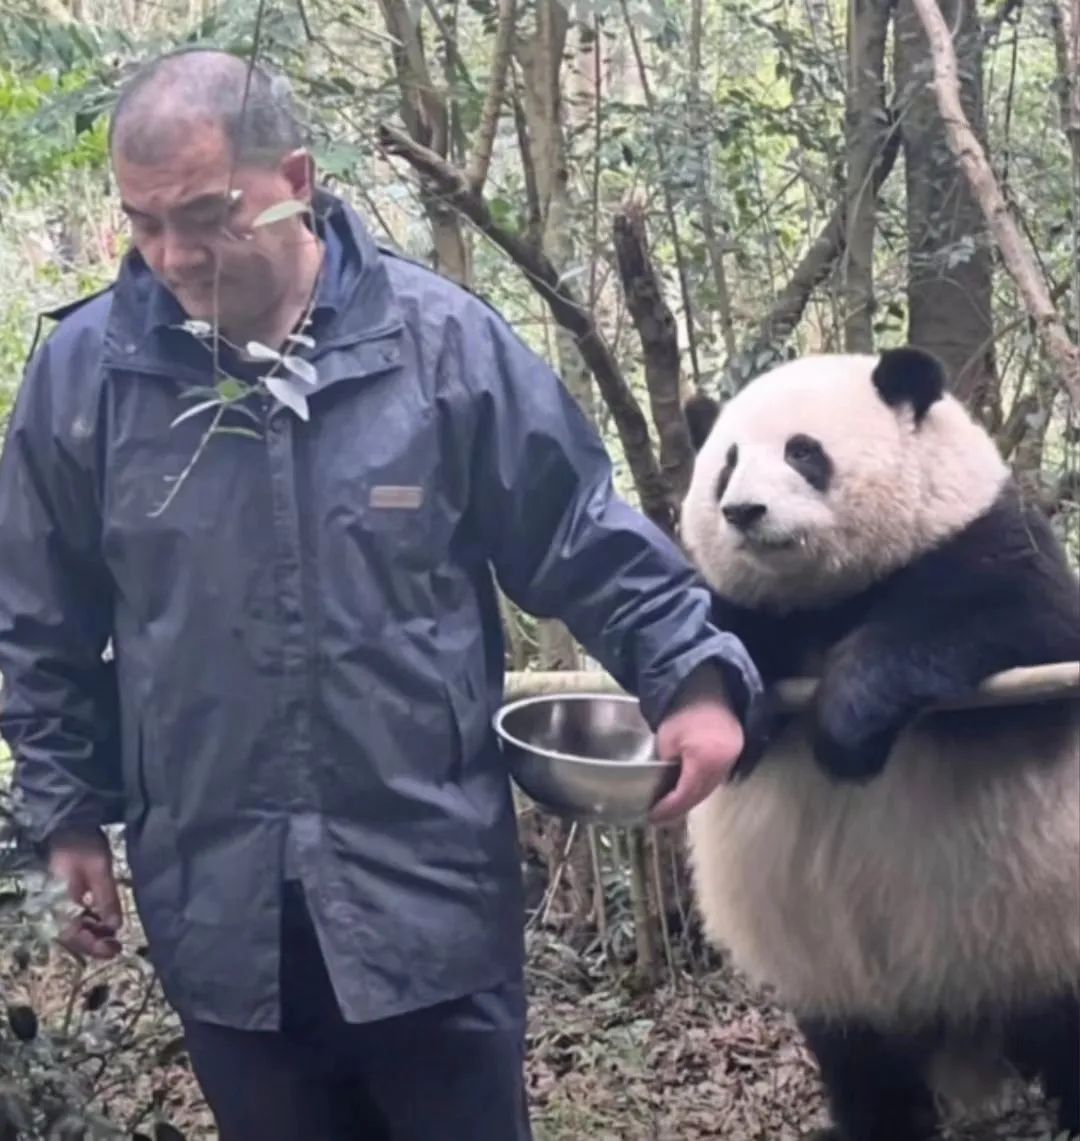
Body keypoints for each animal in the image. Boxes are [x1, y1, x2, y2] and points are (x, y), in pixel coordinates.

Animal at [679, 346, 1076, 1141]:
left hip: (1044, 924)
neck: (821, 600)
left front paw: (845, 725)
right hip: (841, 979)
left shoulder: (984, 539)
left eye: (803, 452)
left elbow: (1012, 617)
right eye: (725, 464)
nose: (743, 512)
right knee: (861, 1063)